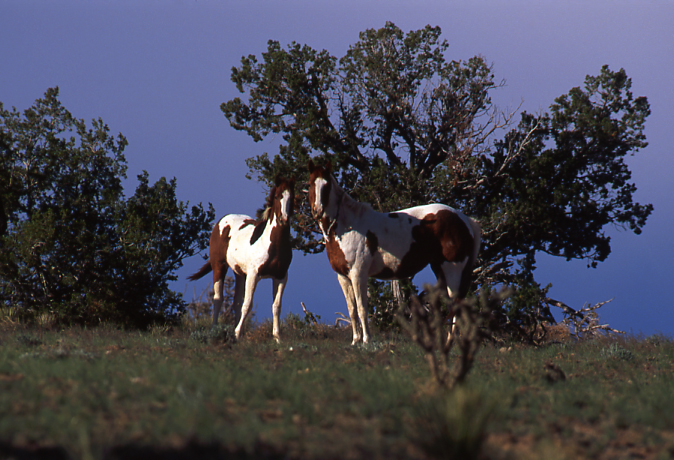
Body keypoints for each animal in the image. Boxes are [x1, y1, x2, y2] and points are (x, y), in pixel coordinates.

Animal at [188, 176, 295, 342]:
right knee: (218, 299)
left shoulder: (281, 276)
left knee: (236, 302)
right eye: (278, 196)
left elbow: (276, 306)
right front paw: (237, 333)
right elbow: (248, 304)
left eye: (292, 197)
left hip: (240, 274)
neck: (272, 244)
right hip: (219, 267)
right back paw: (214, 331)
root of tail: (221, 222)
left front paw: (277, 338)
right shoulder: (253, 275)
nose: (283, 219)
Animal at [307, 160, 481, 345]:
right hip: (440, 270)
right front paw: (355, 340)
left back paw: (450, 342)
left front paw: (366, 341)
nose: (317, 211)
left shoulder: (358, 273)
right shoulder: (343, 276)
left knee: (455, 305)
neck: (347, 227)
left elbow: (362, 308)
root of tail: (464, 219)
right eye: (310, 184)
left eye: (326, 185)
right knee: (451, 306)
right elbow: (352, 310)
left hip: (453, 269)